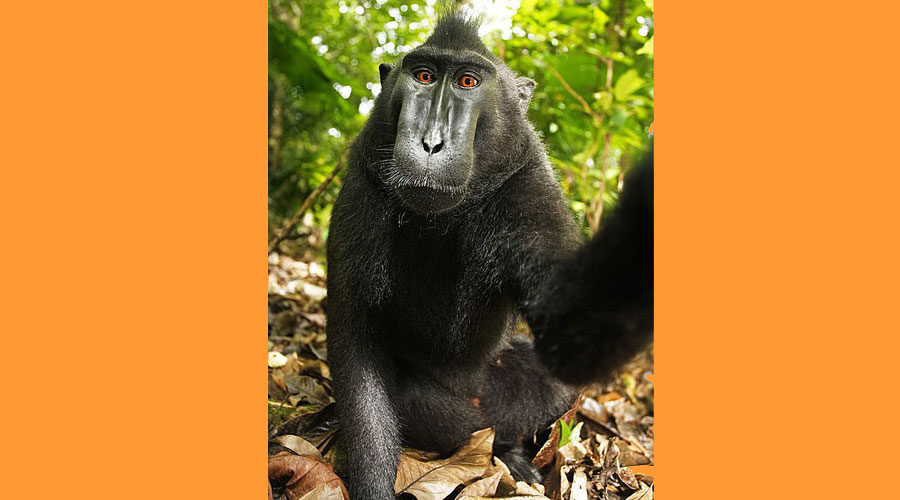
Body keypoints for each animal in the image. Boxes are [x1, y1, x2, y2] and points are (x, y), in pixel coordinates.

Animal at [324, 13, 652, 500]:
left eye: (467, 81)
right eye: (424, 76)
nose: (431, 142)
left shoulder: (529, 186)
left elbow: (571, 337)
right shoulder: (362, 187)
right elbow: (356, 348)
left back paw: (512, 455)